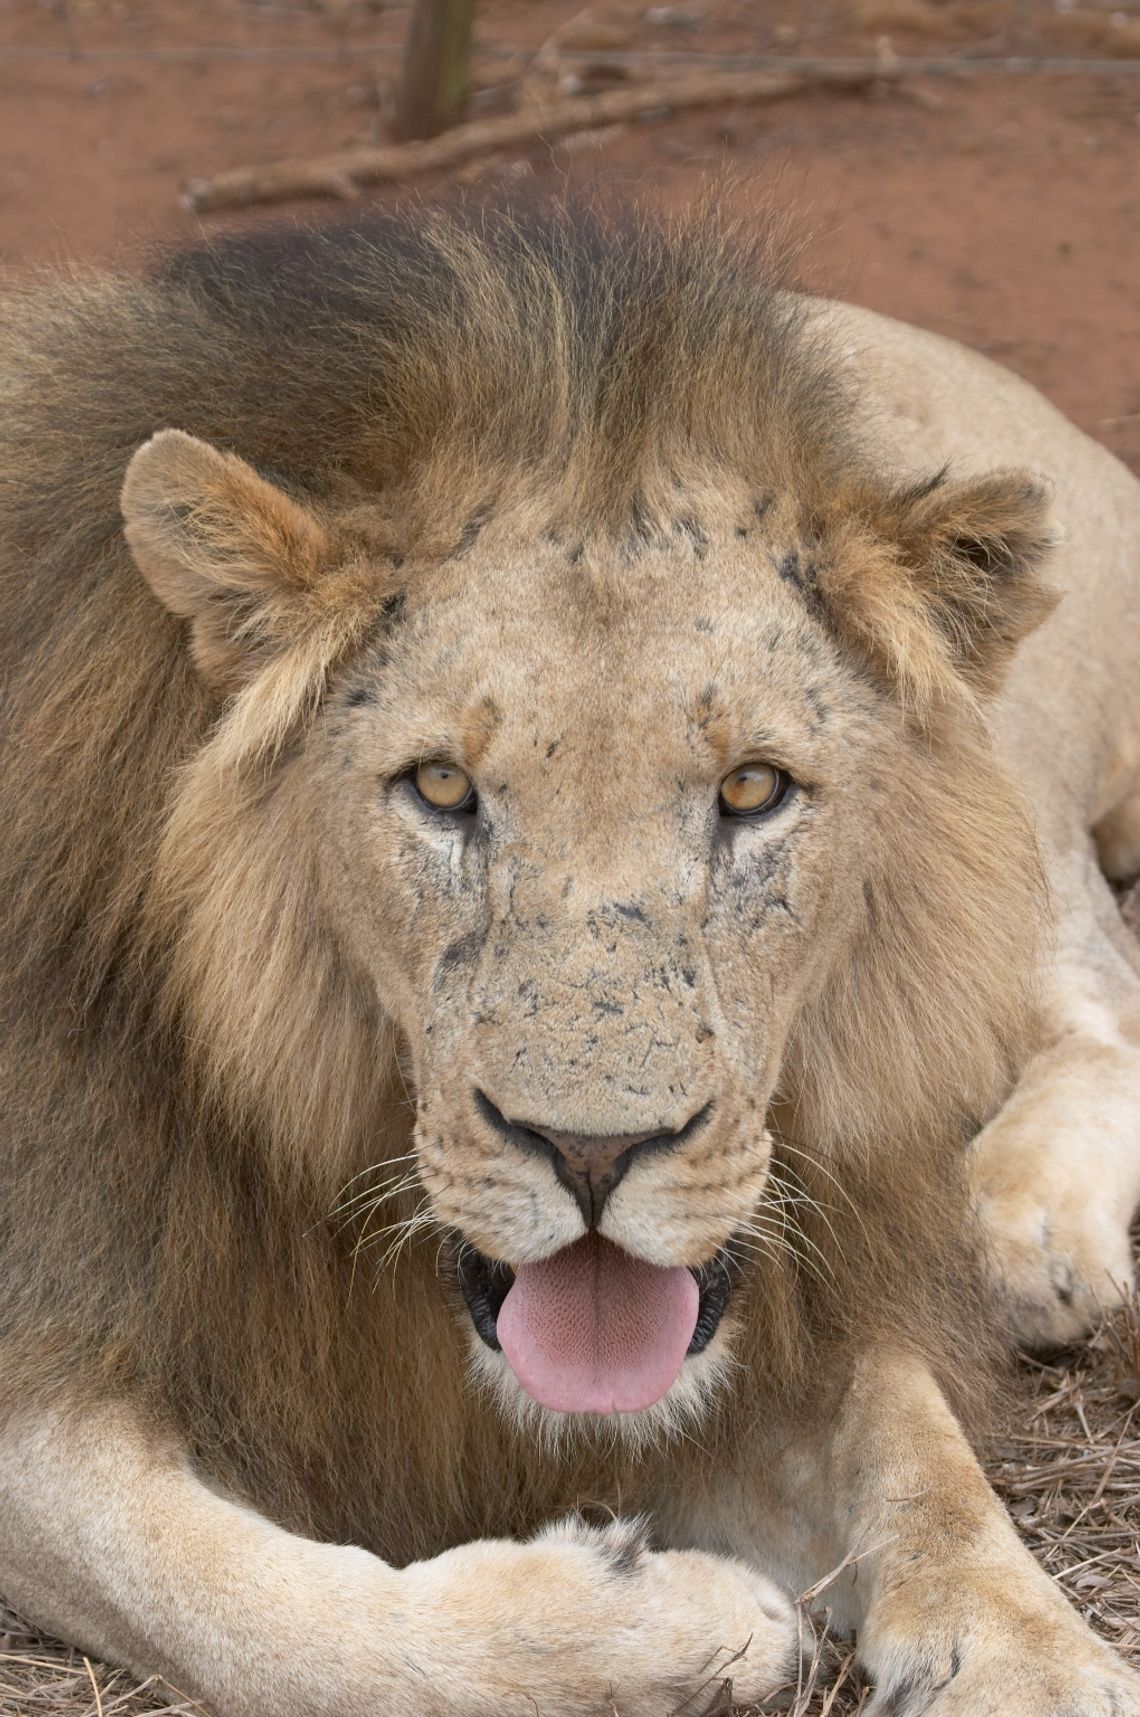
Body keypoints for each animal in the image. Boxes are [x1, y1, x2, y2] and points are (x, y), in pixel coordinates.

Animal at [2, 204, 1140, 1717]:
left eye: (752, 790)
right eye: (438, 788)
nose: (594, 1155)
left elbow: (921, 1457)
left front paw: (1033, 1652)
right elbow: (257, 1610)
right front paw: (672, 1625)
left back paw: (1030, 1229)